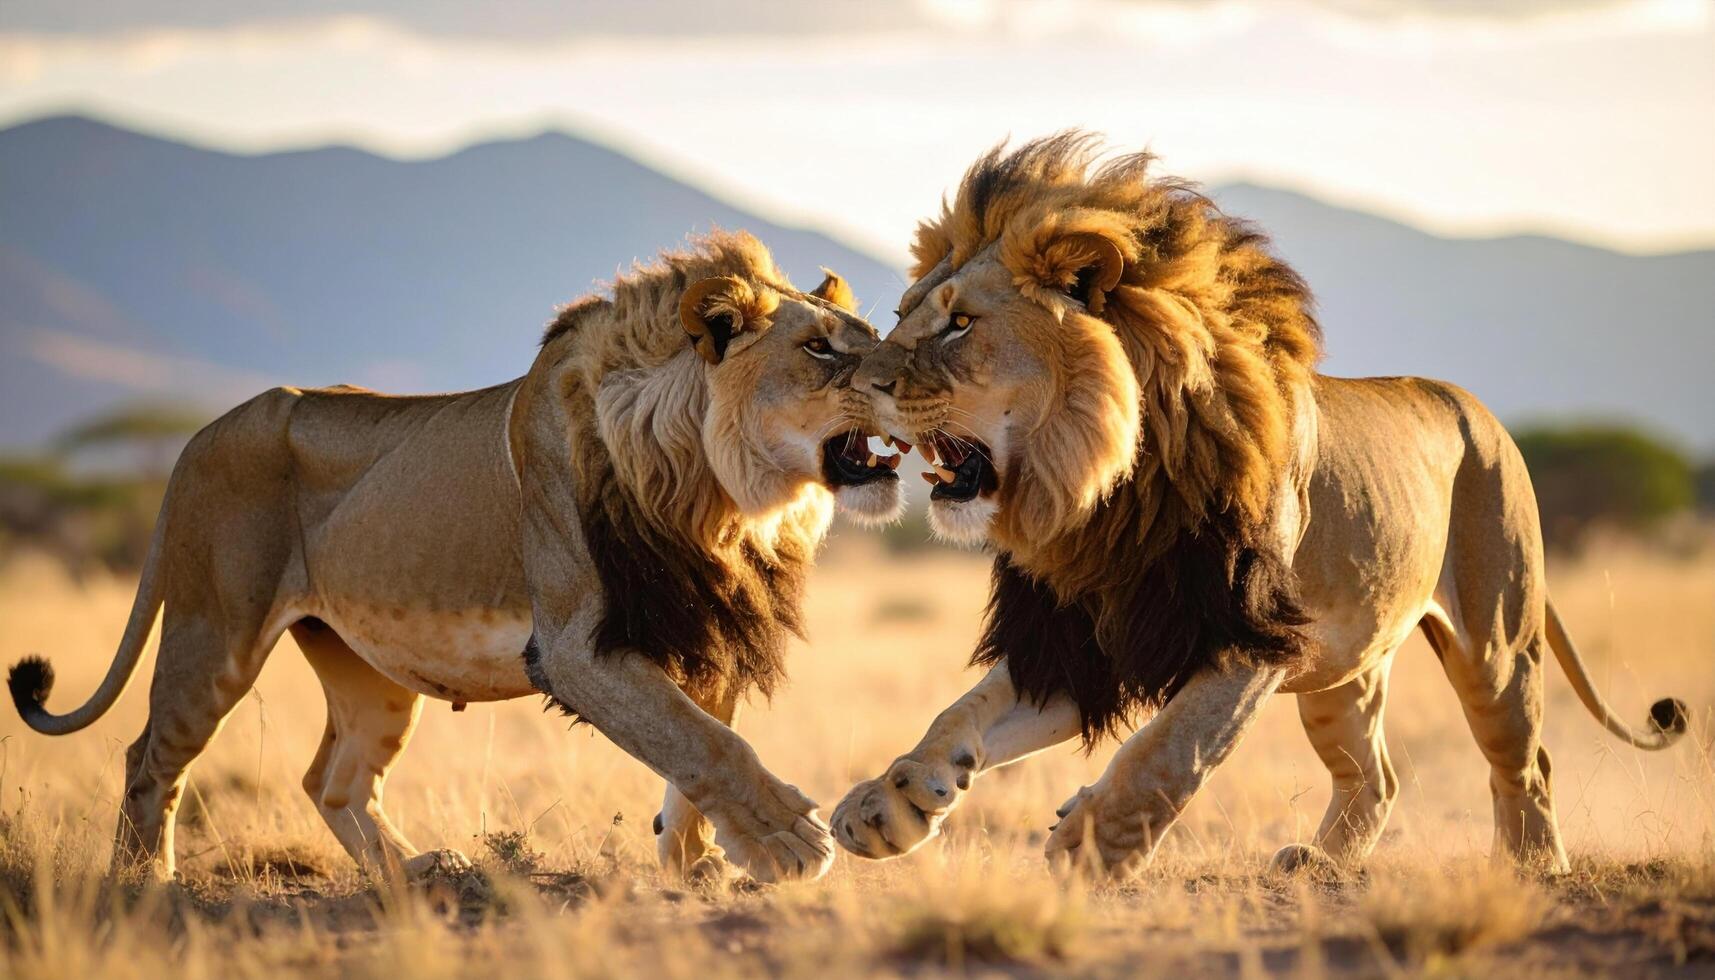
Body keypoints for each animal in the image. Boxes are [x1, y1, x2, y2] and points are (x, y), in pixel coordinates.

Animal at [8, 230, 906, 885]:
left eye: (873, 339)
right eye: (821, 350)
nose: (909, 377)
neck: (725, 501)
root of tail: (196, 437)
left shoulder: (701, 623)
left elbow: (697, 745)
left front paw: (695, 861)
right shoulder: (575, 649)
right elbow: (704, 743)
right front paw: (789, 842)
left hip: (367, 668)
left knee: (333, 780)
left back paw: (418, 873)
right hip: (213, 632)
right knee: (149, 757)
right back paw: (144, 884)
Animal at [831, 134, 1689, 877]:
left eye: (959, 322)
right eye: (903, 313)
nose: (857, 381)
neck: (1101, 494)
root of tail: (1478, 409)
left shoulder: (1246, 636)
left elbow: (1169, 750)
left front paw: (1089, 844)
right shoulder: (1082, 645)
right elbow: (961, 716)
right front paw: (891, 804)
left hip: (1496, 643)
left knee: (1524, 759)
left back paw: (1531, 865)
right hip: (1342, 670)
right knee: (1373, 776)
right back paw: (1318, 864)